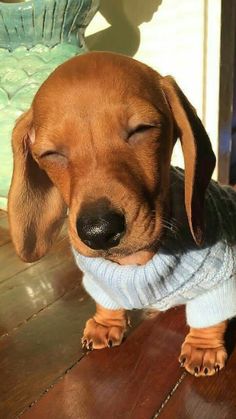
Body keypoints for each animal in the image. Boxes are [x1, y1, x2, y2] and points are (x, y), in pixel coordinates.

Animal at [8, 51, 228, 378]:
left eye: (142, 129)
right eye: (50, 154)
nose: (99, 232)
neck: (136, 263)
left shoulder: (220, 278)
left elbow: (210, 316)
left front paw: (203, 347)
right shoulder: (99, 279)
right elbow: (106, 301)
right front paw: (105, 323)